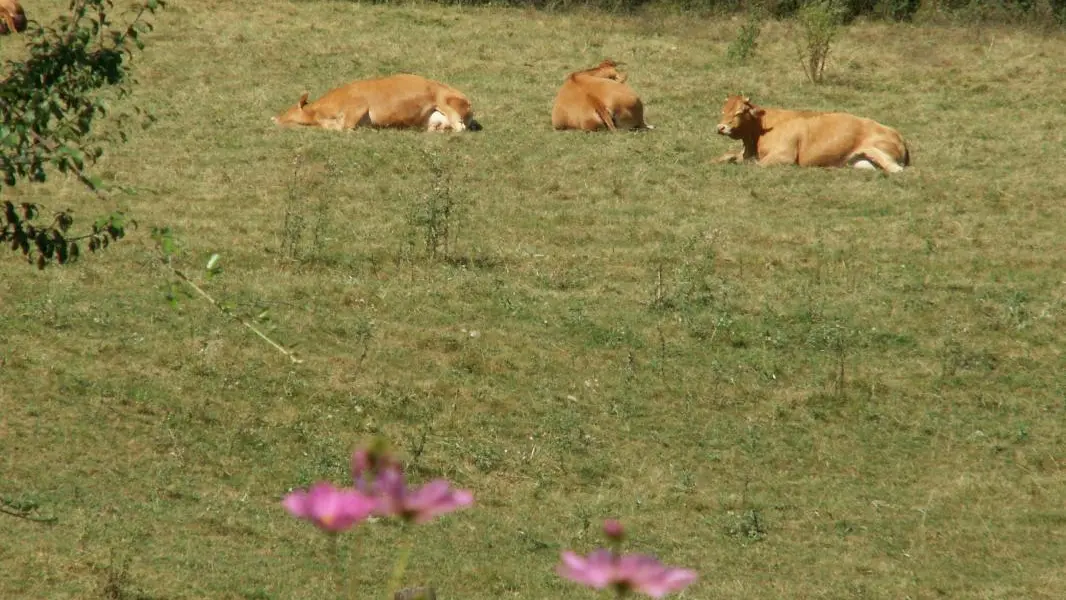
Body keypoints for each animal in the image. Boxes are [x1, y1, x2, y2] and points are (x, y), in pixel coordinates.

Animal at [273, 74, 480, 133]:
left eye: (289, 110)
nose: (275, 118)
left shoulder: (357, 108)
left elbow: (343, 127)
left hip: (444, 100)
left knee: (459, 127)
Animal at [713, 95, 909, 173]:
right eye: (723, 110)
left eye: (739, 112)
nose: (721, 127)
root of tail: (897, 134)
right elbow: (726, 156)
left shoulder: (784, 155)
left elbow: (756, 165)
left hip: (876, 150)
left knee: (896, 169)